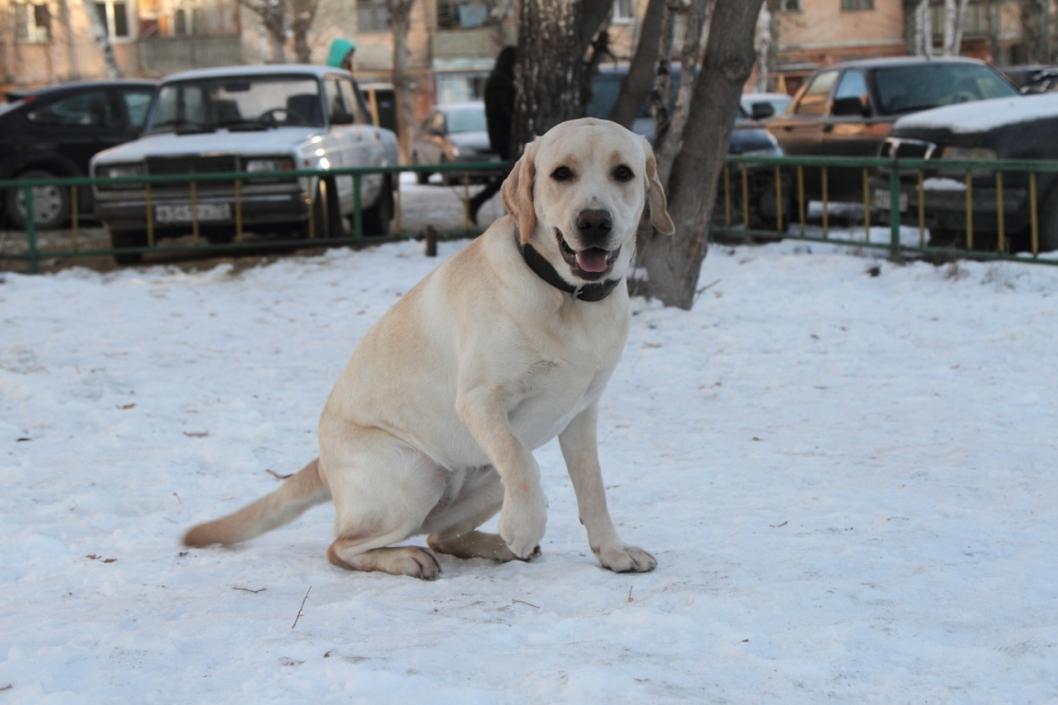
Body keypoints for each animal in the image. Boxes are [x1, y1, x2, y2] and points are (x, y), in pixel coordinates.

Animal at [183, 116, 672, 575]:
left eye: (623, 173)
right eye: (561, 173)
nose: (594, 222)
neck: (566, 295)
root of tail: (322, 462)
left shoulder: (581, 414)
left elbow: (592, 488)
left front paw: (613, 553)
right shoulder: (479, 401)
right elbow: (521, 464)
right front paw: (525, 525)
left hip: (483, 483)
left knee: (440, 535)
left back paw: (495, 547)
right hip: (414, 476)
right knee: (343, 547)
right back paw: (410, 558)